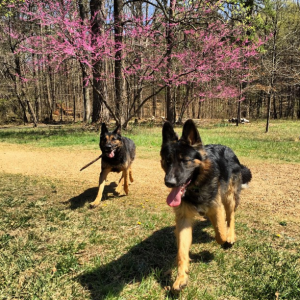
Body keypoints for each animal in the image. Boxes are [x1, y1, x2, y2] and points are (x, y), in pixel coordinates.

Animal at [161, 119, 252, 290]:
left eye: (185, 161)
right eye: (168, 161)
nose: (169, 183)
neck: (196, 185)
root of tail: (228, 149)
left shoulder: (216, 207)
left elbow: (220, 233)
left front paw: (223, 238)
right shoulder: (183, 219)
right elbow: (182, 251)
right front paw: (181, 277)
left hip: (228, 197)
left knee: (231, 217)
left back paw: (231, 235)